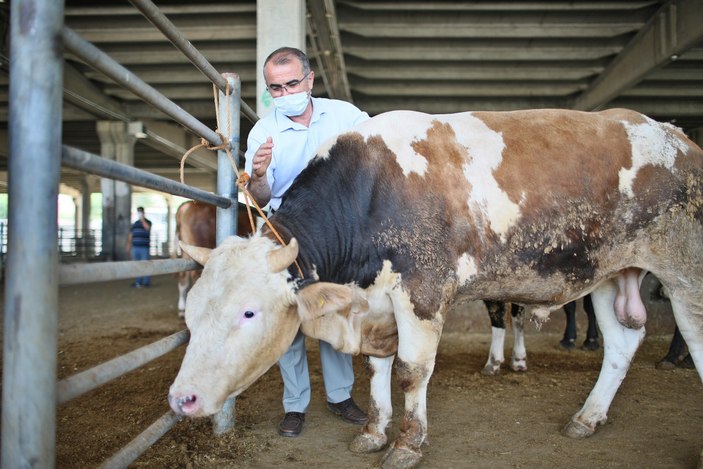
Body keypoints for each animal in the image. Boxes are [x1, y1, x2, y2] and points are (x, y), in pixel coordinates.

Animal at [169, 108, 703, 466]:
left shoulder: (422, 293)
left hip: (686, 275)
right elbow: (378, 369)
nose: (181, 400)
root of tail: (678, 138)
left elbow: (411, 371)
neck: (371, 192)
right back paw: (587, 418)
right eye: (191, 315)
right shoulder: (377, 303)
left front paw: (407, 443)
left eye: (249, 312)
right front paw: (374, 431)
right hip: (611, 277)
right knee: (622, 344)